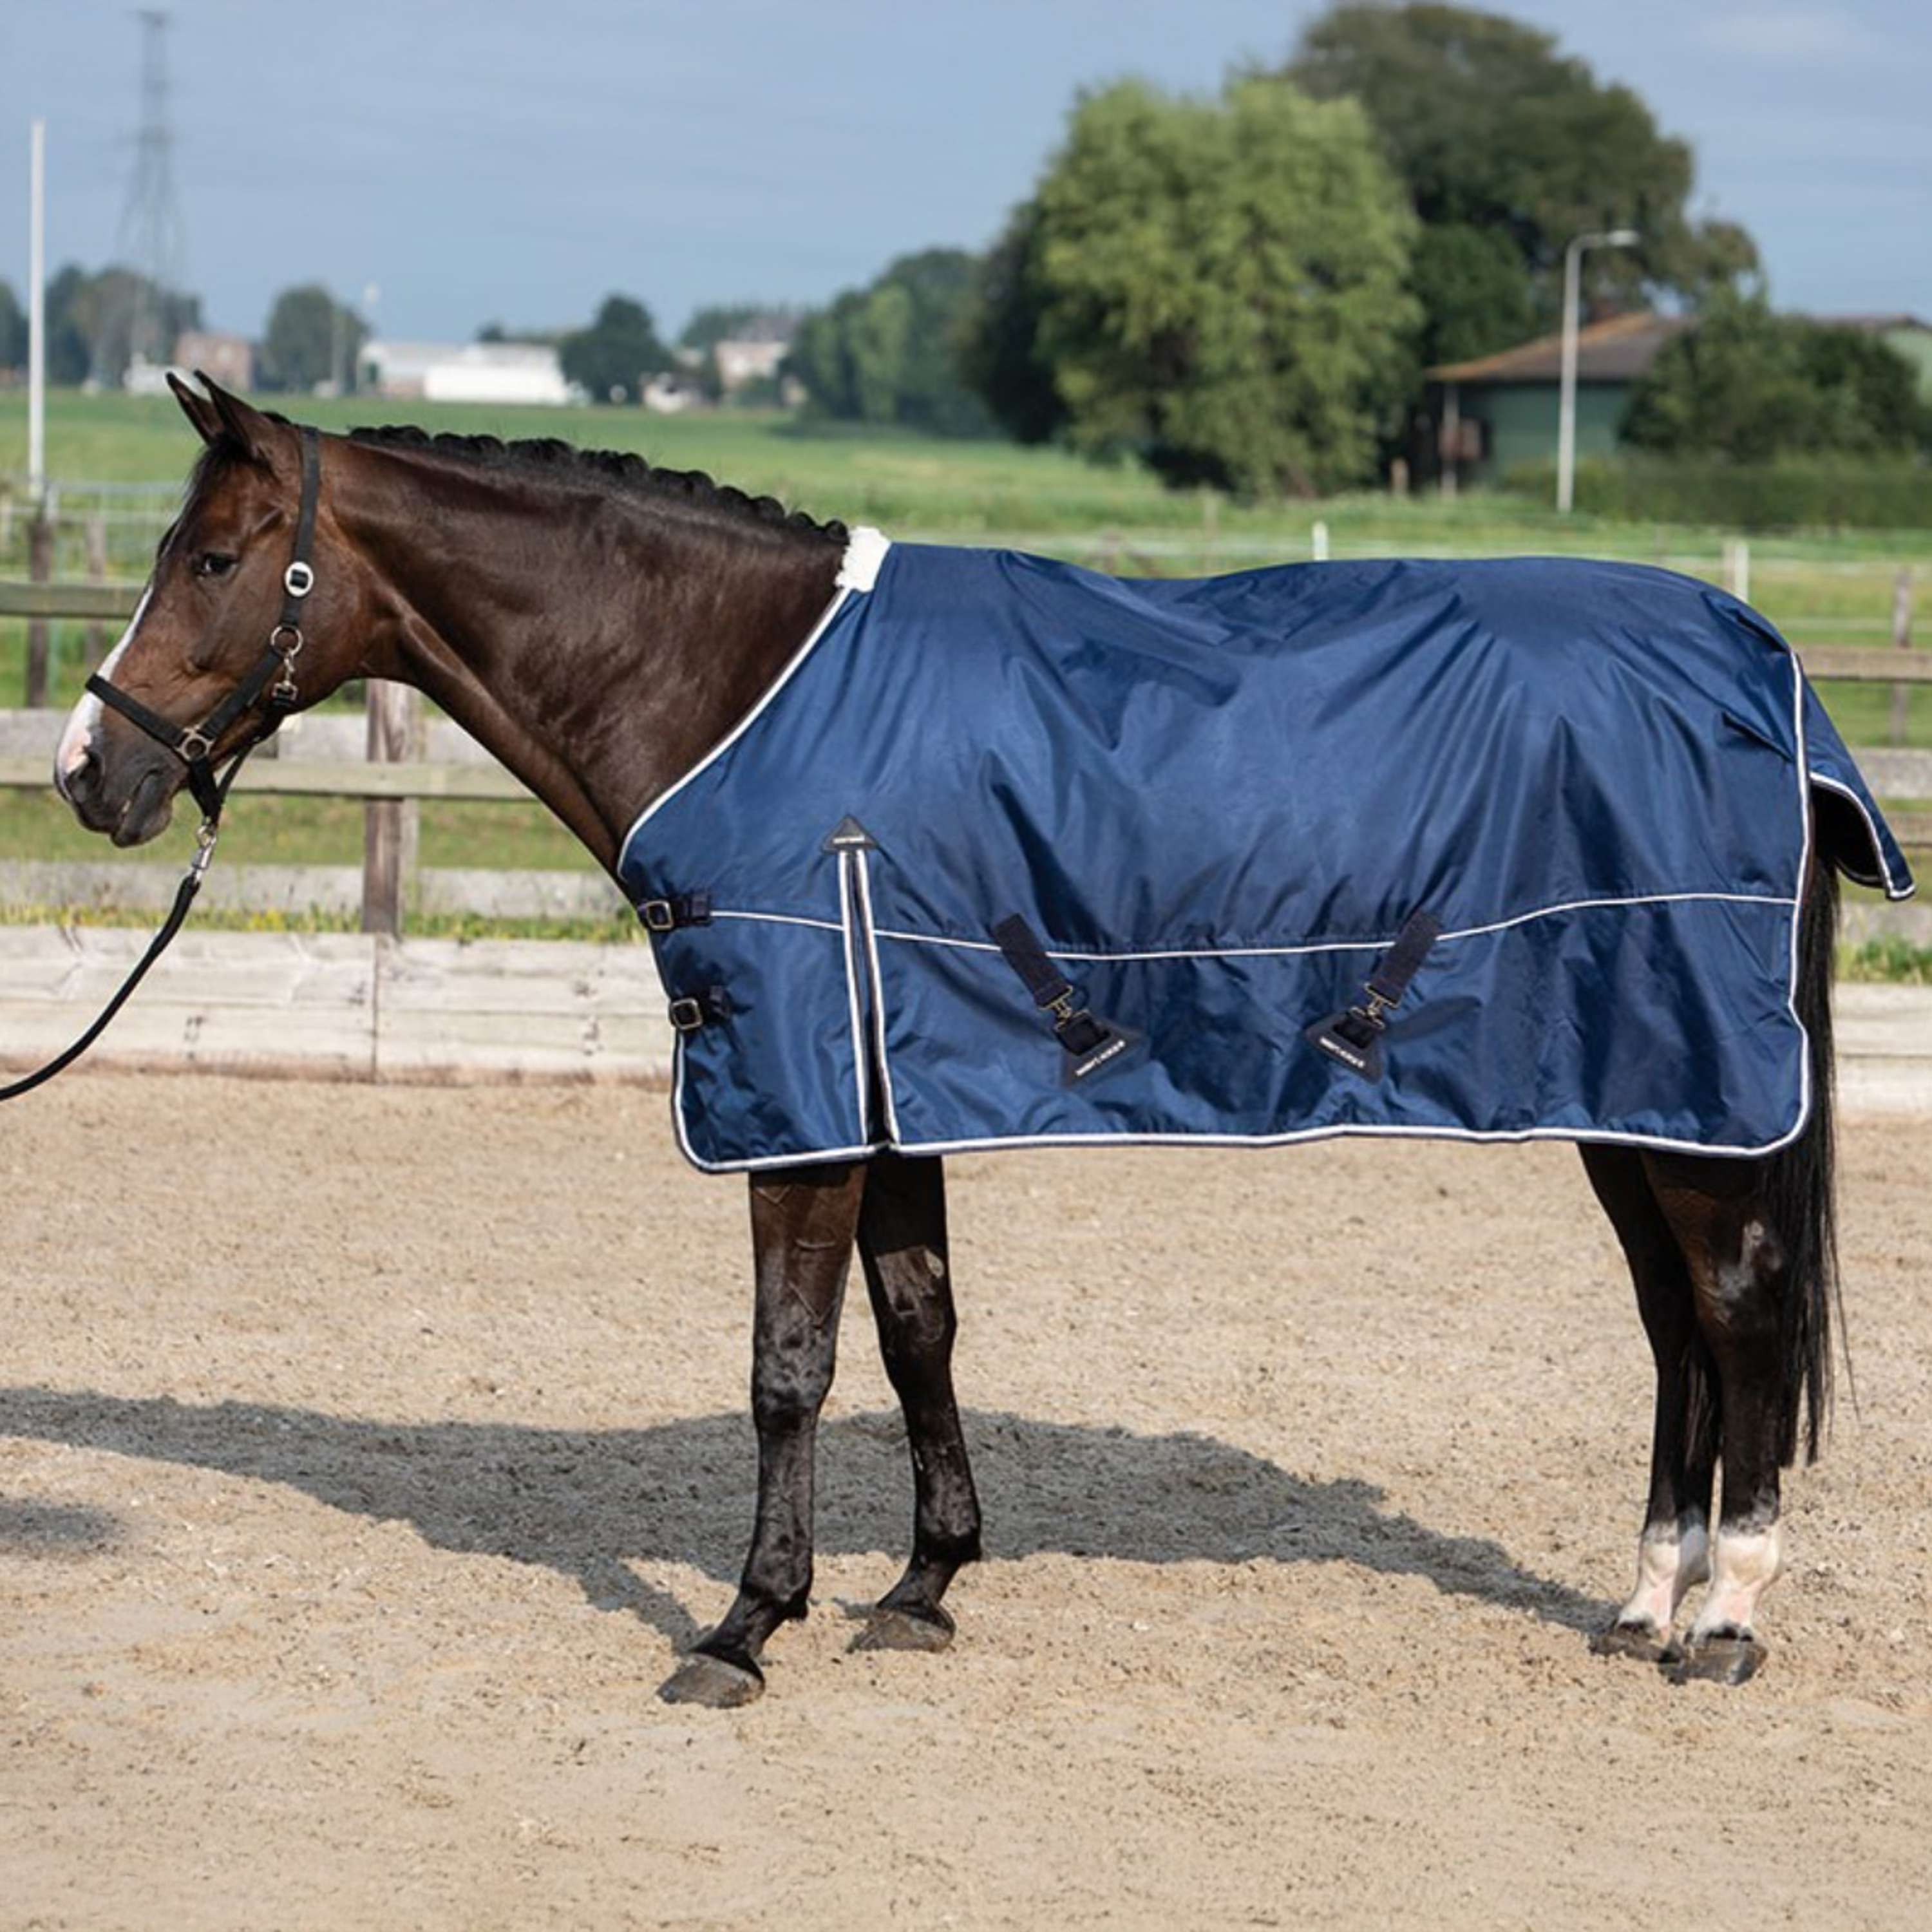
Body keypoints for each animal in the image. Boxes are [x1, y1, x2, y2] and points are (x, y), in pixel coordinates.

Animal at [49, 374, 1880, 1706]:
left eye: (211, 561)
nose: (88, 769)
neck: (732, 686)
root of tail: (1770, 678)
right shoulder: (888, 1082)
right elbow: (919, 1324)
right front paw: (923, 1584)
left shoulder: (792, 1092)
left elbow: (788, 1366)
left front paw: (743, 1626)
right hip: (1641, 1092)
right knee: (1675, 1327)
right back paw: (1645, 1599)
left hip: (1689, 1093)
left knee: (1735, 1310)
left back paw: (1726, 1617)